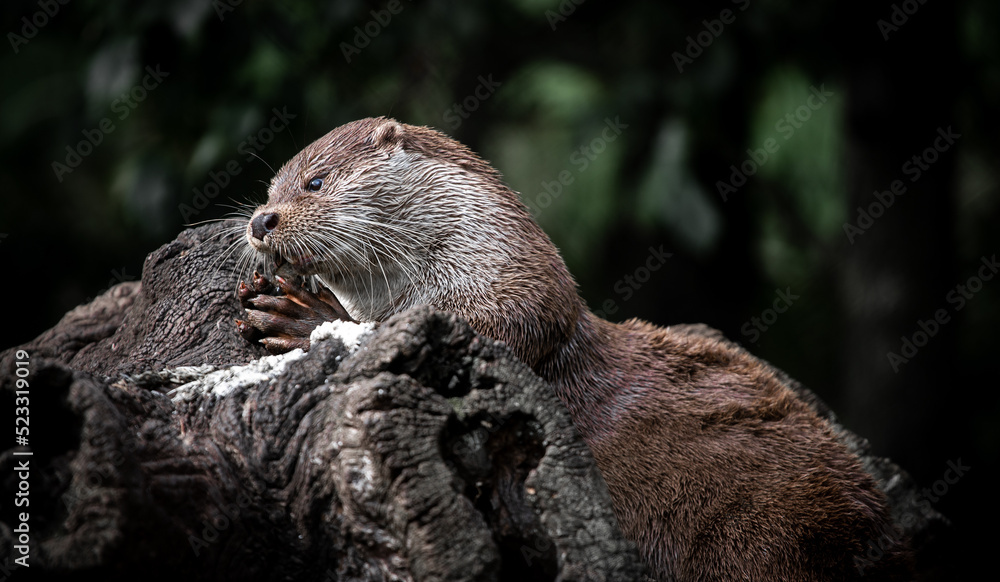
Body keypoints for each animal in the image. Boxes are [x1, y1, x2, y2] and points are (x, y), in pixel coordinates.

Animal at [238, 117, 911, 580]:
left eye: (315, 181)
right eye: (268, 189)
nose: (261, 221)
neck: (466, 267)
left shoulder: (514, 303)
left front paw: (303, 315)